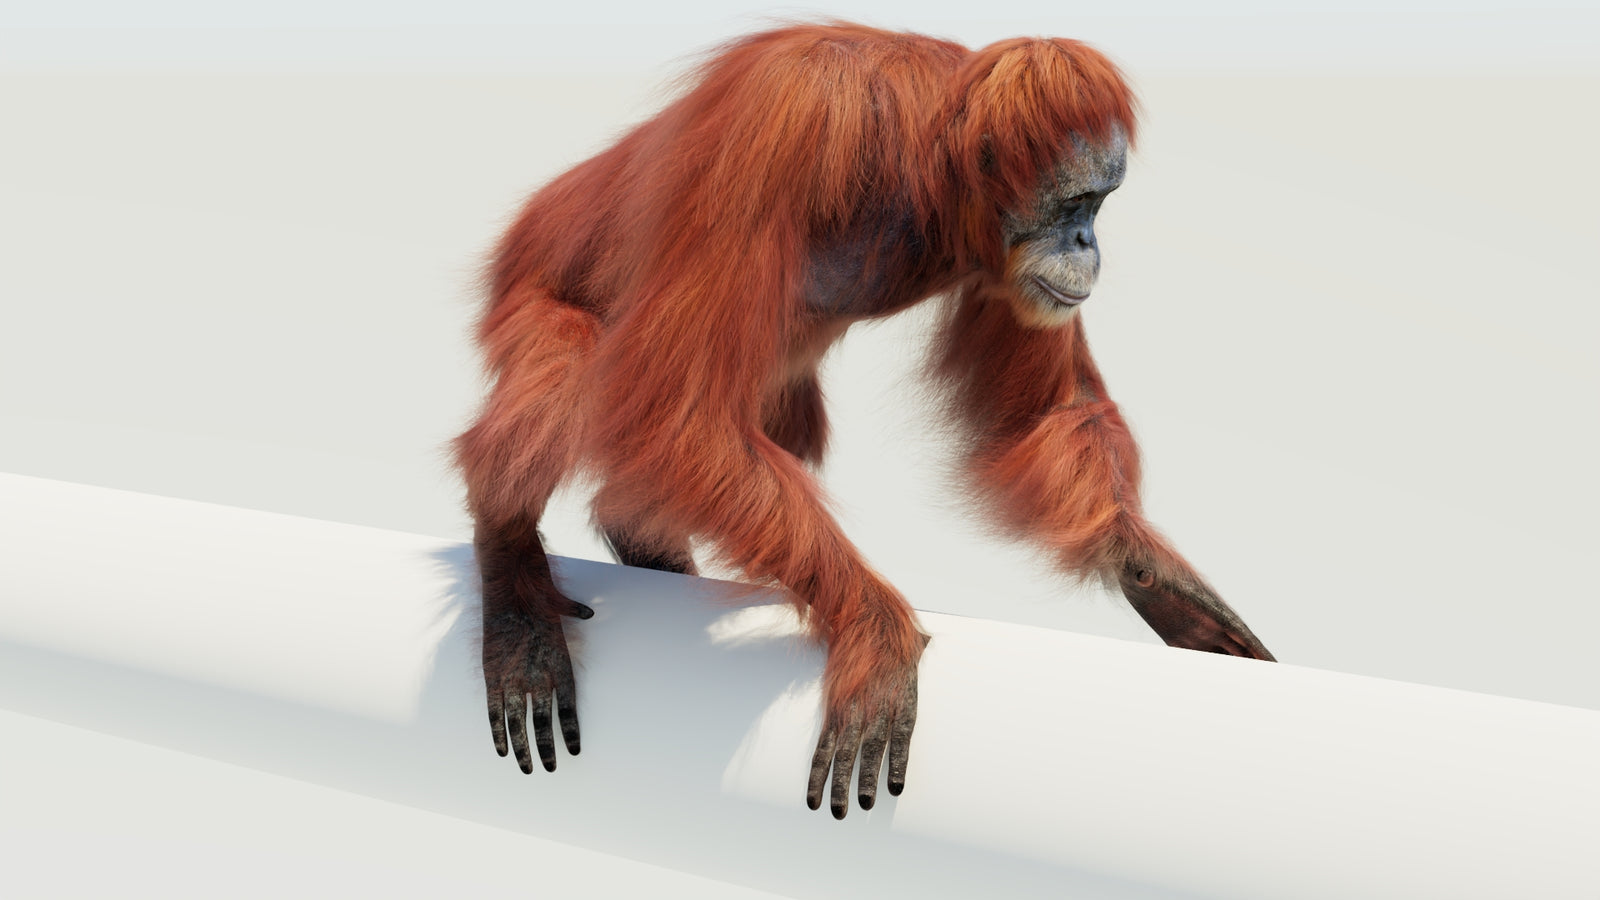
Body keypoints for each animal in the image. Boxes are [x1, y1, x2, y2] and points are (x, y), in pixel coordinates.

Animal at [454, 21, 1275, 821]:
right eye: (1076, 204)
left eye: (1100, 205)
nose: (1088, 243)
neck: (923, 169)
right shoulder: (788, 120)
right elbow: (678, 409)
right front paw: (874, 629)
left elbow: (1042, 415)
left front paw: (1156, 575)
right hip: (529, 283)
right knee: (567, 366)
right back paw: (513, 579)